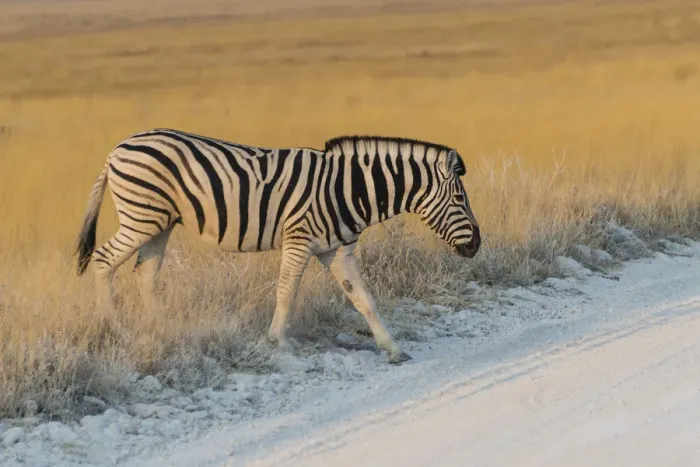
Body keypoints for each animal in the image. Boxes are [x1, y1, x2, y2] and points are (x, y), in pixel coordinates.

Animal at [76, 128, 481, 364]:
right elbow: (287, 291)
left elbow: (363, 298)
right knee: (104, 259)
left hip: (158, 223)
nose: (477, 245)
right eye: (460, 199)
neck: (348, 189)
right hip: (141, 216)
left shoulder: (337, 249)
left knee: (145, 274)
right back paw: (115, 328)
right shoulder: (299, 238)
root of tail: (117, 149)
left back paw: (161, 329)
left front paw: (392, 348)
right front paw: (278, 341)